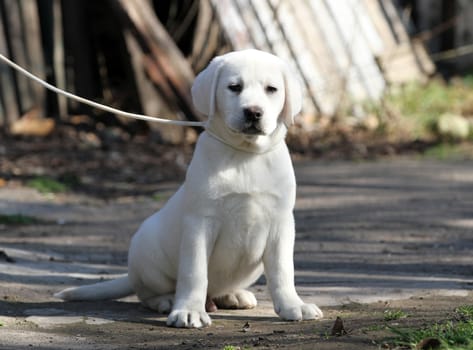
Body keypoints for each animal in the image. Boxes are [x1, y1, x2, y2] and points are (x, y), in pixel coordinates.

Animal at [54, 49, 320, 328]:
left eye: (272, 89)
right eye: (234, 87)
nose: (253, 112)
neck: (245, 155)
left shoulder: (281, 222)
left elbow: (282, 270)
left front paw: (293, 305)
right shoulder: (200, 222)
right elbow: (195, 272)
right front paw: (189, 311)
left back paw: (233, 295)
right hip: (146, 250)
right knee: (146, 292)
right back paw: (167, 301)